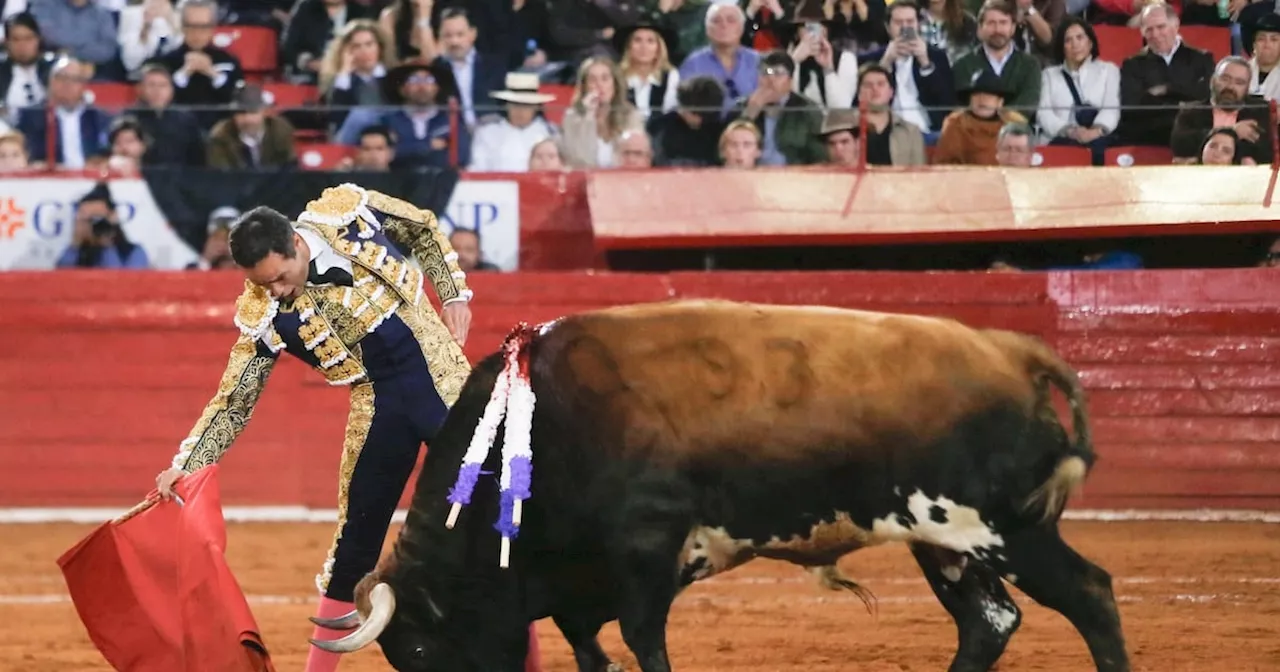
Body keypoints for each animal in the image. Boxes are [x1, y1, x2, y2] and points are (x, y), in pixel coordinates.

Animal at [309, 299, 1131, 670]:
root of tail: (1011, 351)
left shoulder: (647, 544)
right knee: (989, 620)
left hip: (1007, 526)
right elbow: (586, 638)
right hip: (943, 539)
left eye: (419, 649)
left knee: (1088, 593)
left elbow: (640, 636)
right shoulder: (590, 576)